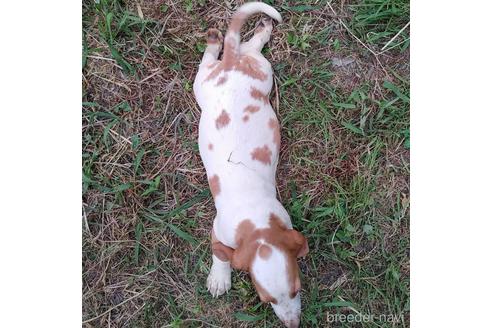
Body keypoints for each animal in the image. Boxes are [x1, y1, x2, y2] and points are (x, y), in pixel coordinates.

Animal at [192, 3, 308, 328]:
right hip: (207, 82)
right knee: (233, 50)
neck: (255, 223)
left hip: (253, 71)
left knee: (245, 47)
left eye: (297, 290)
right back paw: (222, 38)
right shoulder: (218, 230)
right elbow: (221, 254)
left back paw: (248, 32)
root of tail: (231, 63)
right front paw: (219, 279)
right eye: (267, 300)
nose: (293, 324)